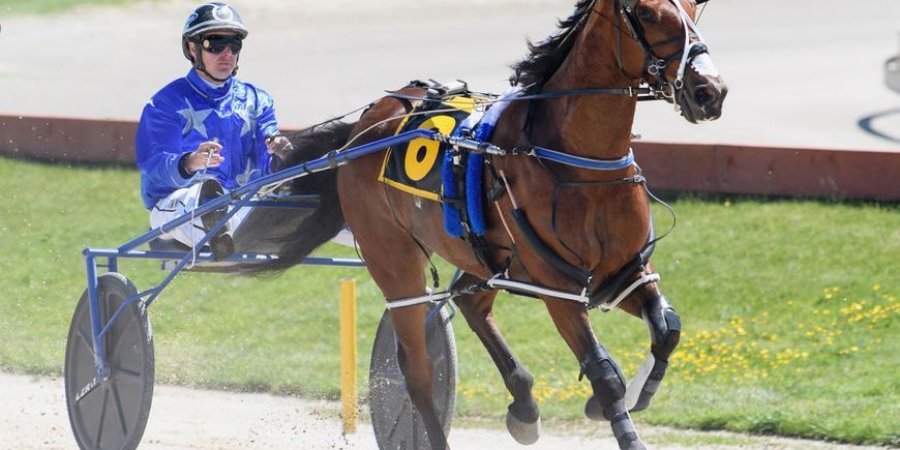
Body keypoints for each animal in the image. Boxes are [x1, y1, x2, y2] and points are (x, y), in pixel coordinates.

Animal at [248, 0, 726, 448]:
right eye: (645, 14)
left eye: (692, 9)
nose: (710, 90)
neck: (575, 158)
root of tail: (363, 126)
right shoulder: (558, 286)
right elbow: (602, 372)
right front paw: (615, 409)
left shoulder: (621, 273)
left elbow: (668, 328)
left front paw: (631, 393)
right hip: (393, 260)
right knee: (417, 369)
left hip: (484, 256)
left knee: (470, 300)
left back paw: (524, 406)